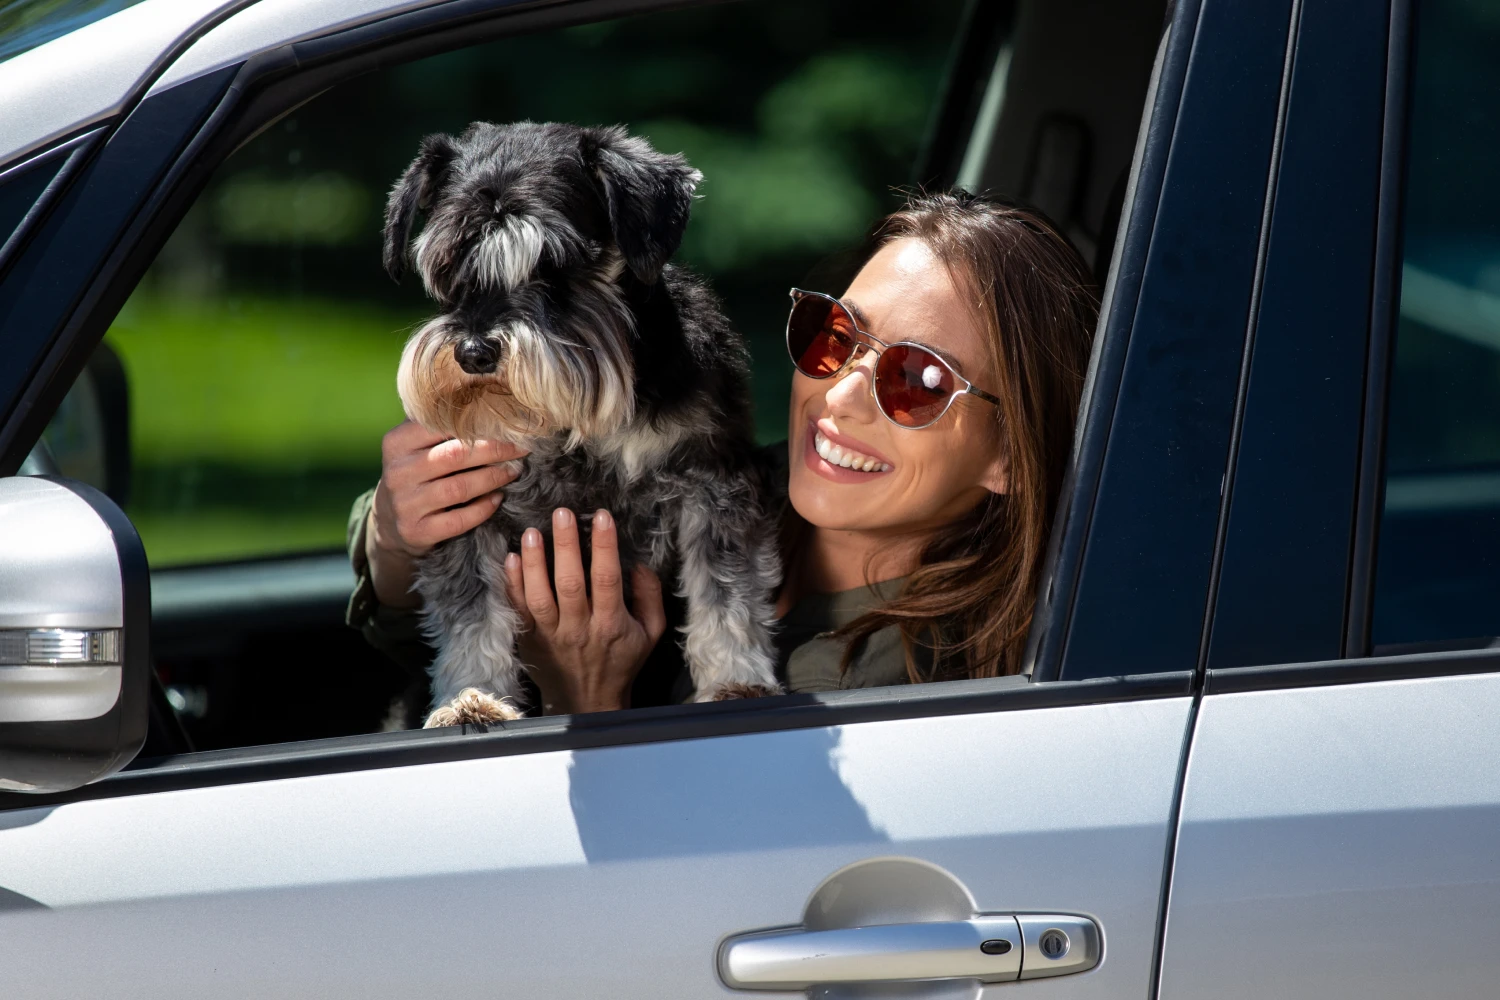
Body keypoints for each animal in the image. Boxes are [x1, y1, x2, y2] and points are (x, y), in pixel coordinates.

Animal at [381, 121, 786, 728]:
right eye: (449, 268)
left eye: (553, 269)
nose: (474, 353)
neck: (572, 423)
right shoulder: (466, 502)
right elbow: (469, 608)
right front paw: (471, 698)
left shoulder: (714, 482)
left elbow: (726, 586)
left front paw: (737, 681)